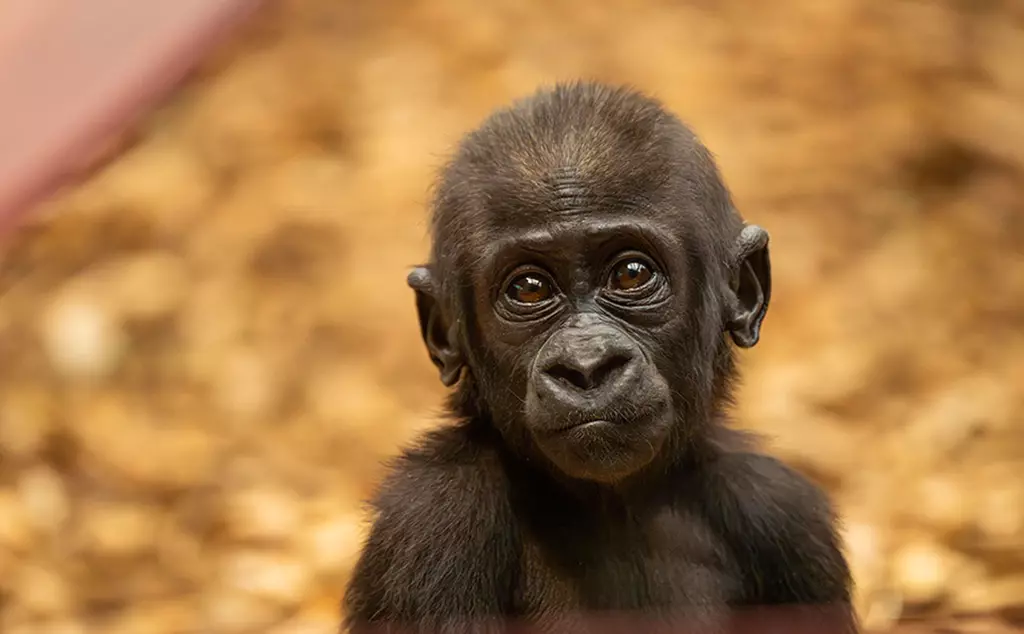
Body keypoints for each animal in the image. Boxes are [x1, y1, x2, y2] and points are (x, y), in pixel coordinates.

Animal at [344, 81, 856, 634]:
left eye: (631, 274)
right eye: (528, 288)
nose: (587, 366)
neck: (615, 505)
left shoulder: (788, 519)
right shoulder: (431, 520)